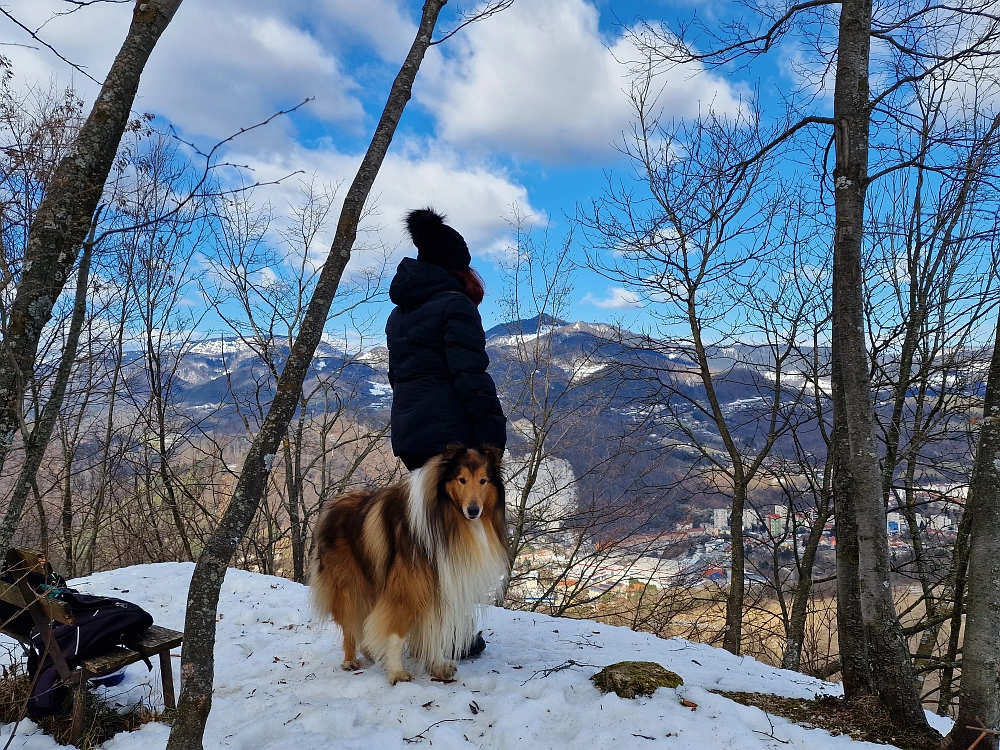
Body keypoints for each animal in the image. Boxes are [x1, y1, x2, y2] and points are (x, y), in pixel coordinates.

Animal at [310, 446, 508, 688]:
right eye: (462, 479)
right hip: (348, 587)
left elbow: (433, 631)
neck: (445, 519)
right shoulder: (405, 589)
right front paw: (397, 673)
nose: (473, 510)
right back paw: (350, 660)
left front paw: (438, 665)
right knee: (350, 625)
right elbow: (396, 633)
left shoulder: (438, 586)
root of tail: (331, 505)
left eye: (483, 480)